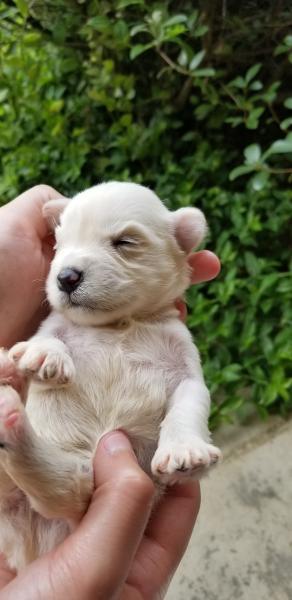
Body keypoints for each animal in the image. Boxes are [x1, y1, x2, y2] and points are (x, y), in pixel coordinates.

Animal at [0, 180, 220, 568]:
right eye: (60, 244)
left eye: (125, 242)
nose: (66, 276)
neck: (117, 324)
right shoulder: (54, 323)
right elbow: (46, 336)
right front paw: (45, 356)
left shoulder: (185, 365)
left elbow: (189, 401)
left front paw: (184, 451)